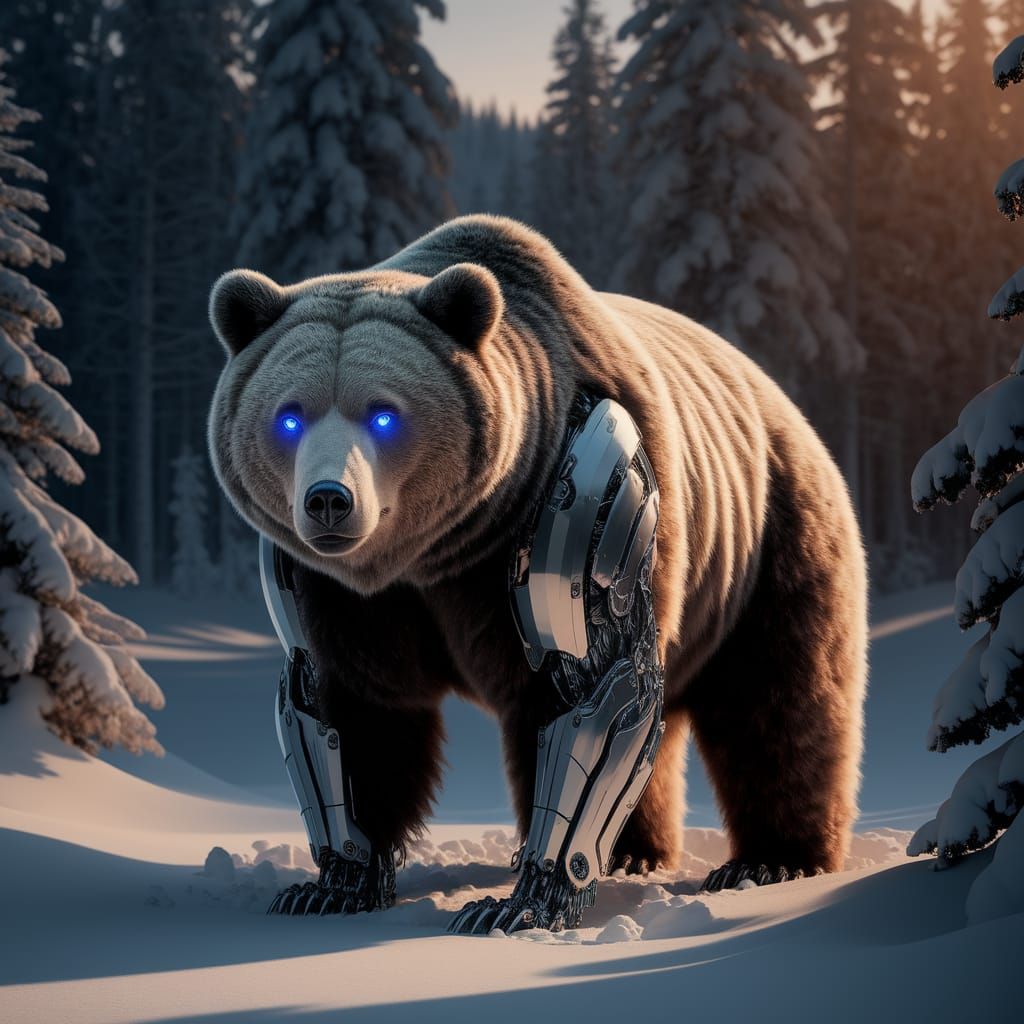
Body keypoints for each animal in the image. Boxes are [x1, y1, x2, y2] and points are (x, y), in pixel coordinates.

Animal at [207, 213, 868, 916]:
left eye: (383, 414)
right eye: (289, 416)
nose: (329, 500)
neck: (443, 554)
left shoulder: (575, 501)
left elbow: (589, 687)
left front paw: (519, 901)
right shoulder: (344, 596)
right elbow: (350, 708)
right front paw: (330, 886)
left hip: (767, 545)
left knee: (777, 706)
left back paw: (770, 860)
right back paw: (635, 851)